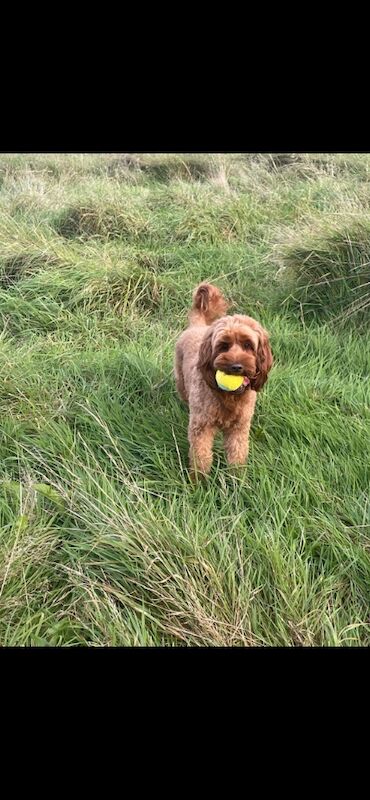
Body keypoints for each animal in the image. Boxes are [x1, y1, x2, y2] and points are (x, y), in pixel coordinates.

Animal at [175, 282, 274, 478]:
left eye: (248, 345)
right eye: (223, 345)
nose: (236, 366)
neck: (229, 396)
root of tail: (196, 326)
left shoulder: (239, 428)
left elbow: (237, 454)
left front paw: (237, 478)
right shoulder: (201, 427)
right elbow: (201, 456)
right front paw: (199, 480)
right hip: (181, 382)